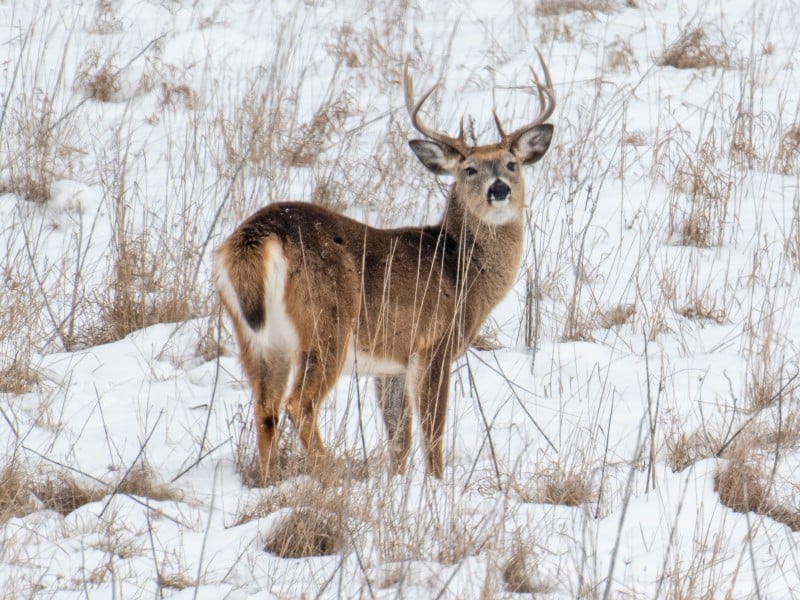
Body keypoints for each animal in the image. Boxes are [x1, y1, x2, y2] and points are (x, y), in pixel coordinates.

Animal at [214, 53, 555, 484]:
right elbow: (432, 431)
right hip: (327, 323)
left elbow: (399, 440)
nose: (499, 189)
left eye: (512, 164)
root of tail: (256, 235)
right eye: (469, 169)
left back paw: (269, 482)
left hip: (255, 338)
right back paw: (331, 476)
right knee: (299, 404)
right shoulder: (434, 342)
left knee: (265, 408)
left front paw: (398, 483)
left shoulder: (390, 364)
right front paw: (436, 485)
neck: (458, 269)